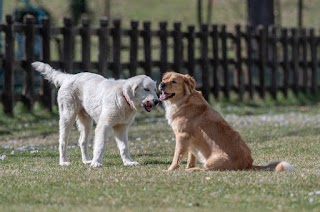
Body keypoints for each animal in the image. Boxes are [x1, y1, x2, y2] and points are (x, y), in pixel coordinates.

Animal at [31, 61, 159, 167]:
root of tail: (70, 77)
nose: (157, 101)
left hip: (86, 122)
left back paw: (86, 160)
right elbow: (100, 146)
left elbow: (124, 147)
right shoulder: (103, 126)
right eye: (146, 89)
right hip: (67, 117)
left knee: (82, 141)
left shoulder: (121, 128)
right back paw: (63, 162)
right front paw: (96, 163)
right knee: (63, 141)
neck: (123, 97)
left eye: (155, 90)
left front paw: (128, 162)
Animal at [159, 72, 294, 171]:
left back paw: (192, 171)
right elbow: (191, 157)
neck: (184, 101)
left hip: (210, 162)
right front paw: (187, 166)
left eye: (174, 81)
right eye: (164, 79)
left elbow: (177, 157)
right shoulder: (190, 140)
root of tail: (249, 164)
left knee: (206, 170)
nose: (161, 84)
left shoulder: (182, 136)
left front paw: (170, 170)